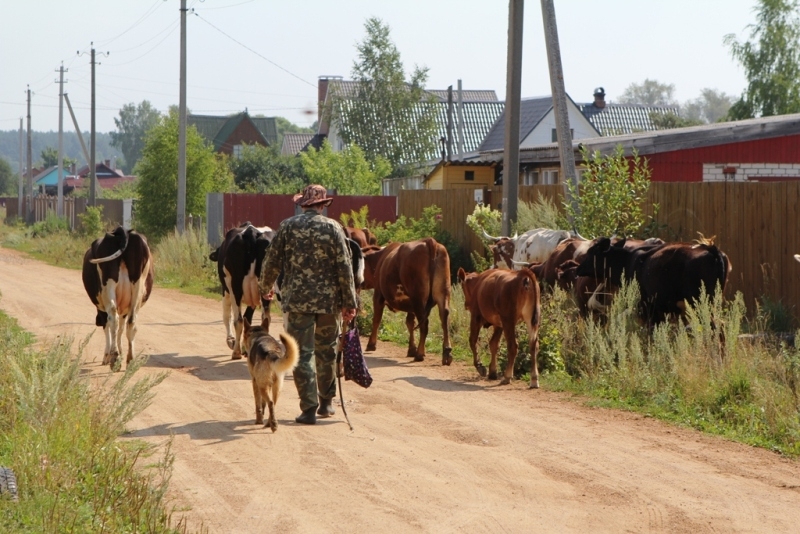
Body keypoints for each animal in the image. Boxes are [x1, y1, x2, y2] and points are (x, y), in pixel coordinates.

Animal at [82, 227, 154, 372]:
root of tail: (122, 230)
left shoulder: (101, 309)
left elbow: (108, 327)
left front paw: (107, 356)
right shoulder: (125, 308)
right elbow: (121, 328)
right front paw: (120, 353)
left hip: (108, 288)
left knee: (112, 319)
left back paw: (114, 359)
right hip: (138, 286)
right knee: (131, 322)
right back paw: (130, 360)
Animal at [209, 222, 276, 360]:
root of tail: (252, 232)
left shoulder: (225, 290)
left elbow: (227, 316)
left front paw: (231, 340)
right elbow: (248, 319)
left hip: (235, 286)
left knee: (238, 320)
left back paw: (236, 352)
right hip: (266, 288)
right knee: (265, 318)